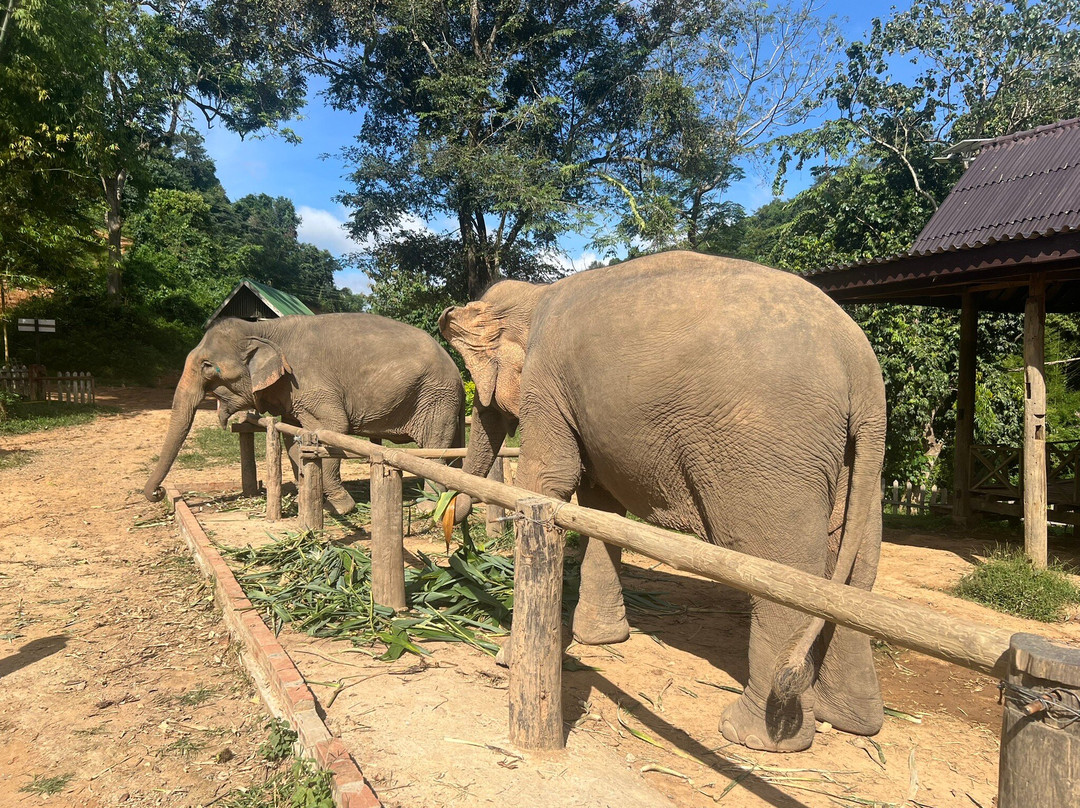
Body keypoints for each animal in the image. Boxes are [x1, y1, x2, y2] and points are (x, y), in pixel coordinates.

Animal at [144, 313, 465, 514]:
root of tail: (457, 370)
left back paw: (427, 507)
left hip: (435, 396)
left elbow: (335, 427)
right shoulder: (291, 392)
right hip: (445, 400)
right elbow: (292, 436)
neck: (266, 330)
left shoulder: (310, 382)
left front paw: (341, 506)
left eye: (208, 366)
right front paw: (307, 496)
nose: (159, 495)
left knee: (434, 448)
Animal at [439, 251, 886, 752]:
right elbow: (600, 504)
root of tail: (862, 370)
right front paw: (600, 640)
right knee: (854, 573)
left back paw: (753, 735)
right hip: (855, 461)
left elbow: (548, 479)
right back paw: (848, 721)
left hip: (771, 448)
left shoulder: (546, 381)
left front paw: (507, 656)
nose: (451, 521)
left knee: (784, 567)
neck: (535, 294)